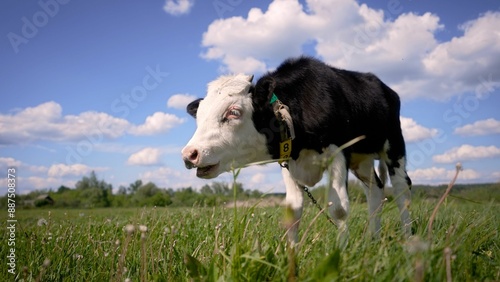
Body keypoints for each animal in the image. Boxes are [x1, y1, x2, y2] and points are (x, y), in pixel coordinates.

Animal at [182, 56, 412, 245]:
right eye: (199, 115)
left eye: (234, 112)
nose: (189, 154)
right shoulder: (288, 158)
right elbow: (293, 212)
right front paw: (291, 256)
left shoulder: (338, 152)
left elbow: (339, 209)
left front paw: (341, 253)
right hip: (362, 159)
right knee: (376, 190)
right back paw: (373, 240)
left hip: (394, 145)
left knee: (402, 189)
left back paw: (409, 241)